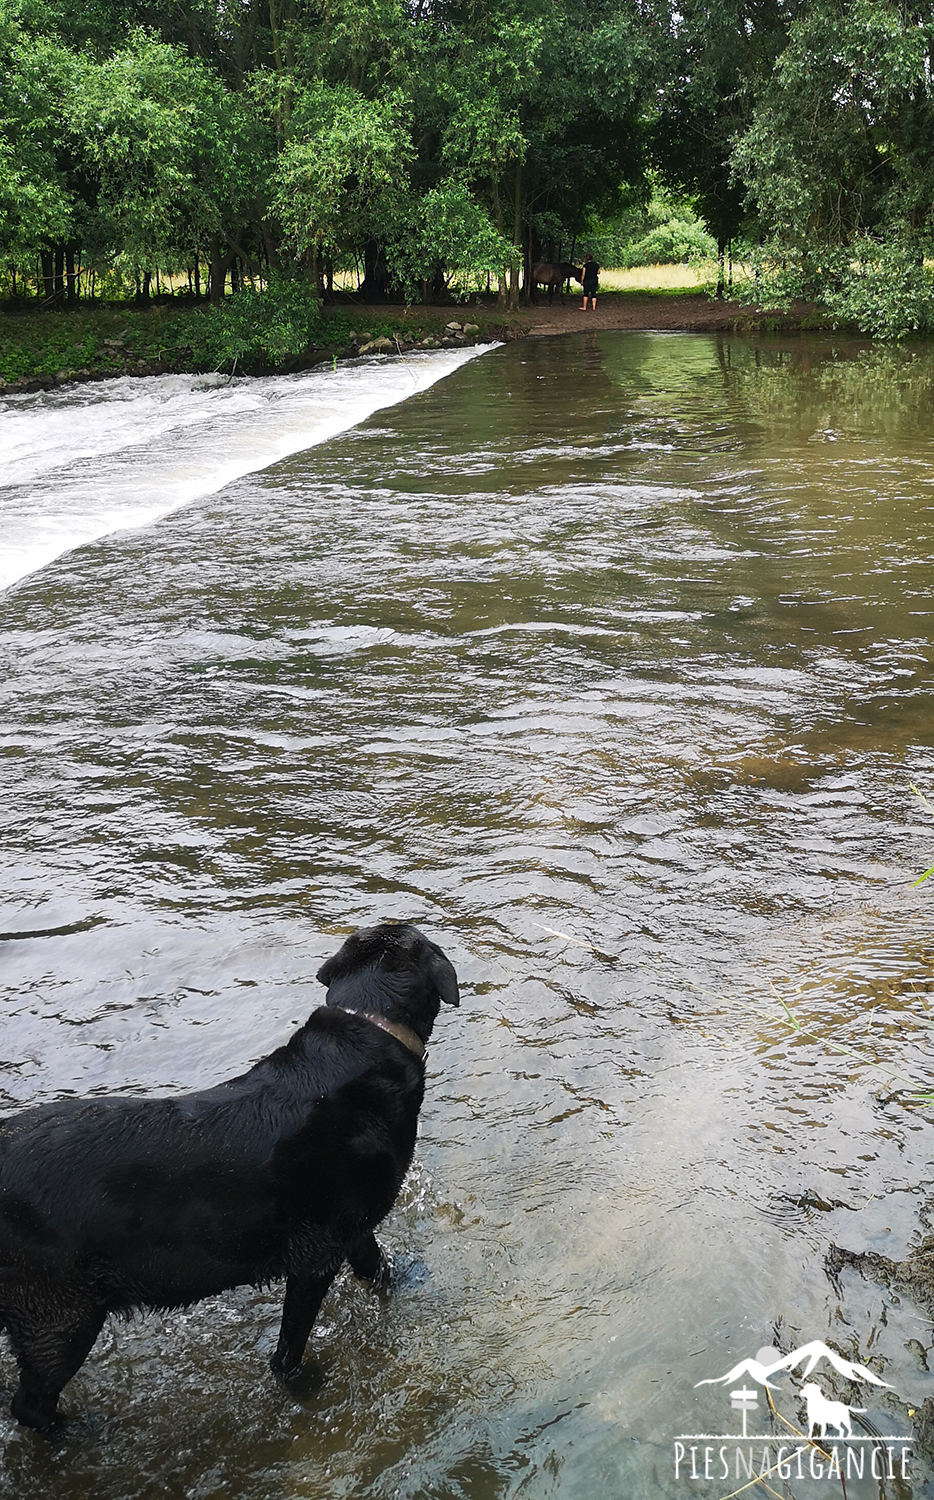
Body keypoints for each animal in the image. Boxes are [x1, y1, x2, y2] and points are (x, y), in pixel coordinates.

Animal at [0, 918, 455, 1422]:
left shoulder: (351, 1229)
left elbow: (377, 1268)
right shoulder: (314, 1257)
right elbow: (290, 1345)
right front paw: (296, 1384)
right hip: (59, 1314)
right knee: (30, 1405)